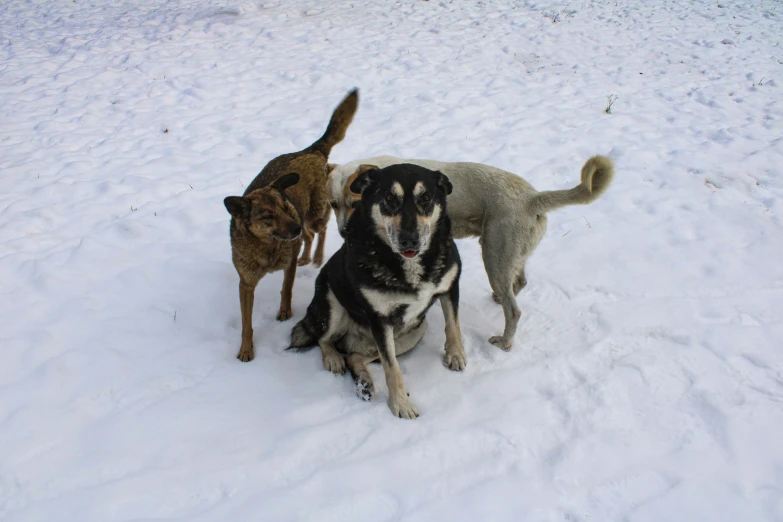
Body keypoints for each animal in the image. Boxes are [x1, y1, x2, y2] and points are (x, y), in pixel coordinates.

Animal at [224, 89, 358, 360]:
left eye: (285, 207)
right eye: (267, 216)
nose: (293, 228)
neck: (268, 247)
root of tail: (311, 151)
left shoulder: (288, 262)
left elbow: (286, 288)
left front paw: (284, 312)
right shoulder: (246, 284)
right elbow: (246, 322)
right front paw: (246, 349)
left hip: (314, 214)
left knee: (320, 231)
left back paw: (316, 257)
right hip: (305, 219)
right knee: (308, 236)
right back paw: (307, 256)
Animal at [290, 165, 468, 416]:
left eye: (426, 198)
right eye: (390, 198)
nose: (409, 240)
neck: (408, 265)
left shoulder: (450, 286)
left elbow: (453, 325)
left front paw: (455, 354)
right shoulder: (380, 319)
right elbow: (392, 367)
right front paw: (401, 405)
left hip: (412, 333)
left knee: (355, 356)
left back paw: (364, 382)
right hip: (332, 306)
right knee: (323, 338)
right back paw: (334, 359)